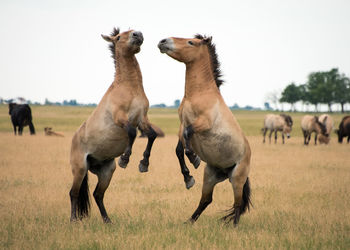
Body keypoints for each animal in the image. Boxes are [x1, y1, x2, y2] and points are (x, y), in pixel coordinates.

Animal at [158, 34, 252, 225]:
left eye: (190, 42)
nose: (163, 41)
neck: (198, 94)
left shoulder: (202, 123)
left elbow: (187, 140)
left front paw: (194, 159)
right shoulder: (182, 124)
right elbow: (178, 149)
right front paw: (188, 178)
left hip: (237, 178)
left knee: (238, 204)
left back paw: (233, 227)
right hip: (210, 176)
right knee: (206, 200)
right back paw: (189, 221)